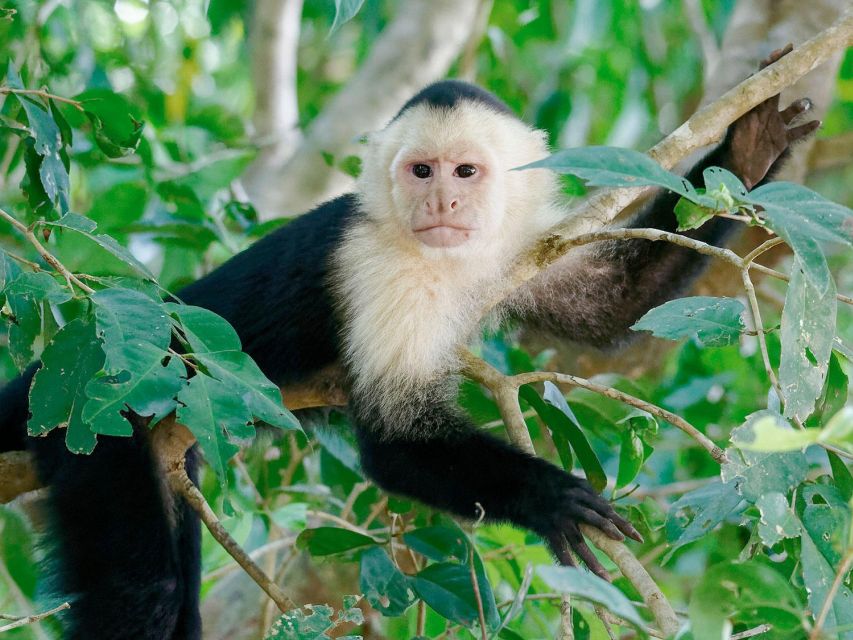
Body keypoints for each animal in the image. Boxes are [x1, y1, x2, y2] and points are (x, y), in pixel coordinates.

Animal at [0, 46, 820, 640]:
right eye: (421, 171)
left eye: (466, 172)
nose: (443, 201)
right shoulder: (381, 269)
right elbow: (394, 440)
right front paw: (550, 498)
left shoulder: (519, 243)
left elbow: (609, 309)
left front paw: (749, 150)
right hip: (87, 418)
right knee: (145, 587)